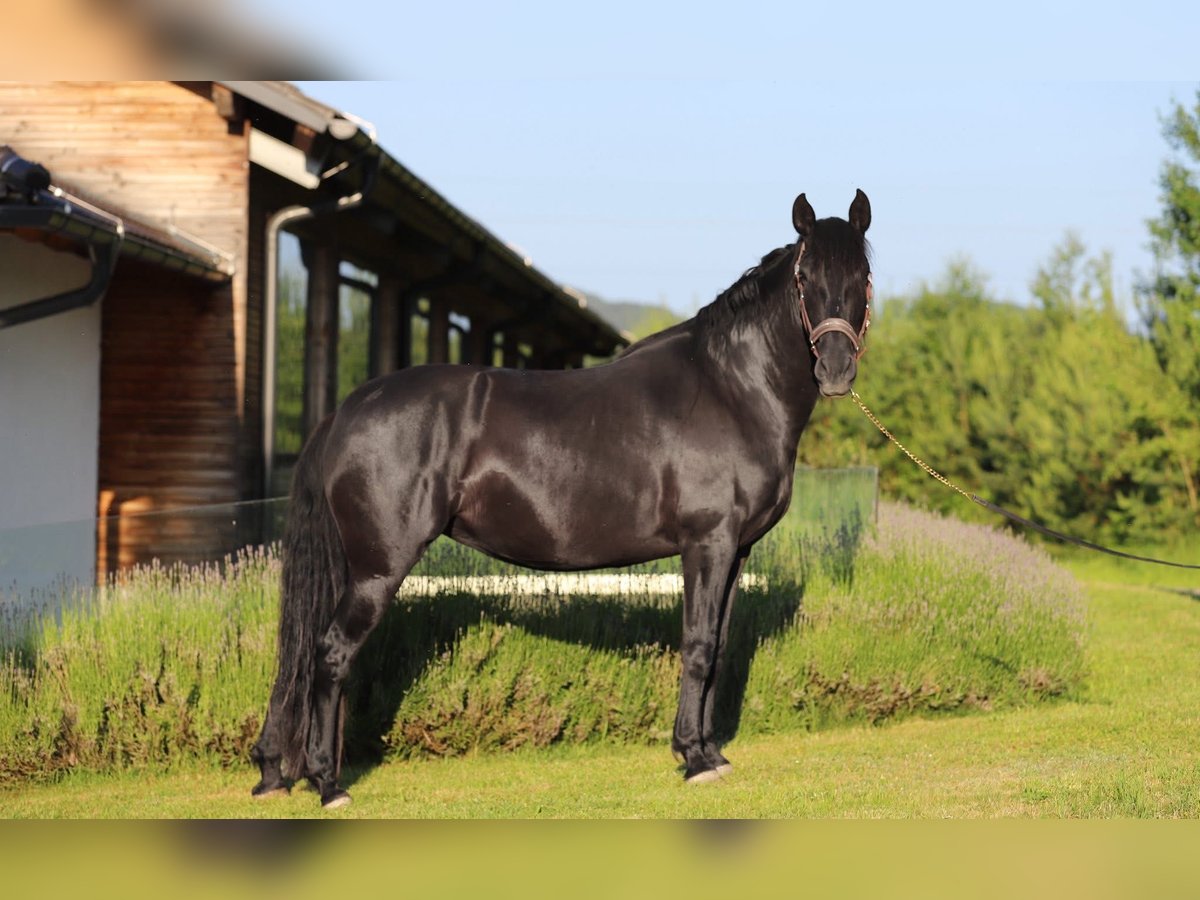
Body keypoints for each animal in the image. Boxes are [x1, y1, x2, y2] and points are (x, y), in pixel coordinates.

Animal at [251, 190, 874, 808]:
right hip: (377, 570)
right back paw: (327, 783)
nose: (835, 369)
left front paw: (709, 751)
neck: (729, 389)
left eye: (862, 276)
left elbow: (718, 648)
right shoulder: (707, 544)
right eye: (804, 278)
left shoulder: (737, 552)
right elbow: (697, 645)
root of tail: (348, 409)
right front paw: (694, 760)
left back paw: (284, 769)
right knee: (330, 654)